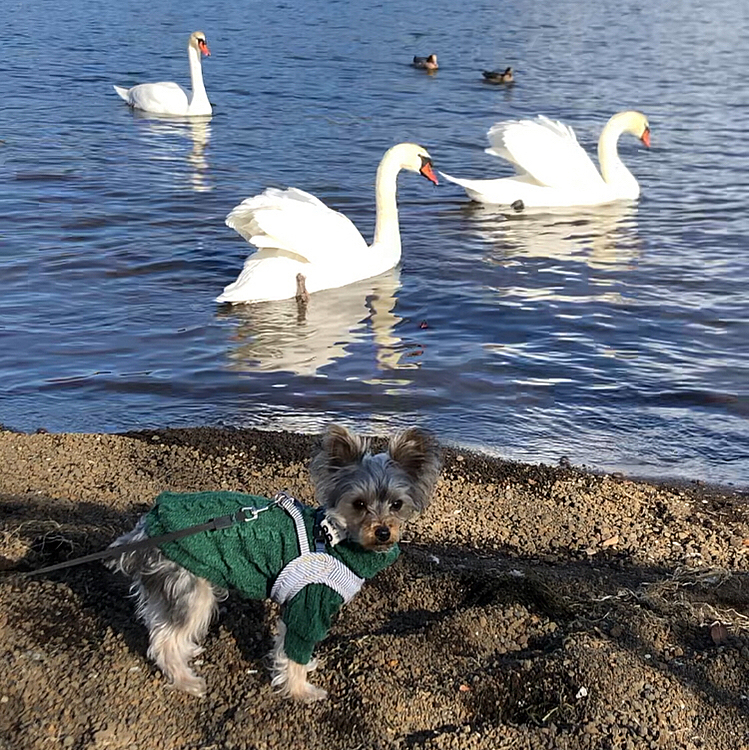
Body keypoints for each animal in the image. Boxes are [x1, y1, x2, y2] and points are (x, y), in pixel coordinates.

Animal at [108, 426, 442, 704]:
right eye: (359, 504)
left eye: (397, 505)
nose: (384, 532)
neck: (333, 535)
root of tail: (145, 530)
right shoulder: (309, 606)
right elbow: (293, 652)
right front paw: (301, 691)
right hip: (192, 587)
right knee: (165, 639)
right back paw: (186, 681)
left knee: (162, 624)